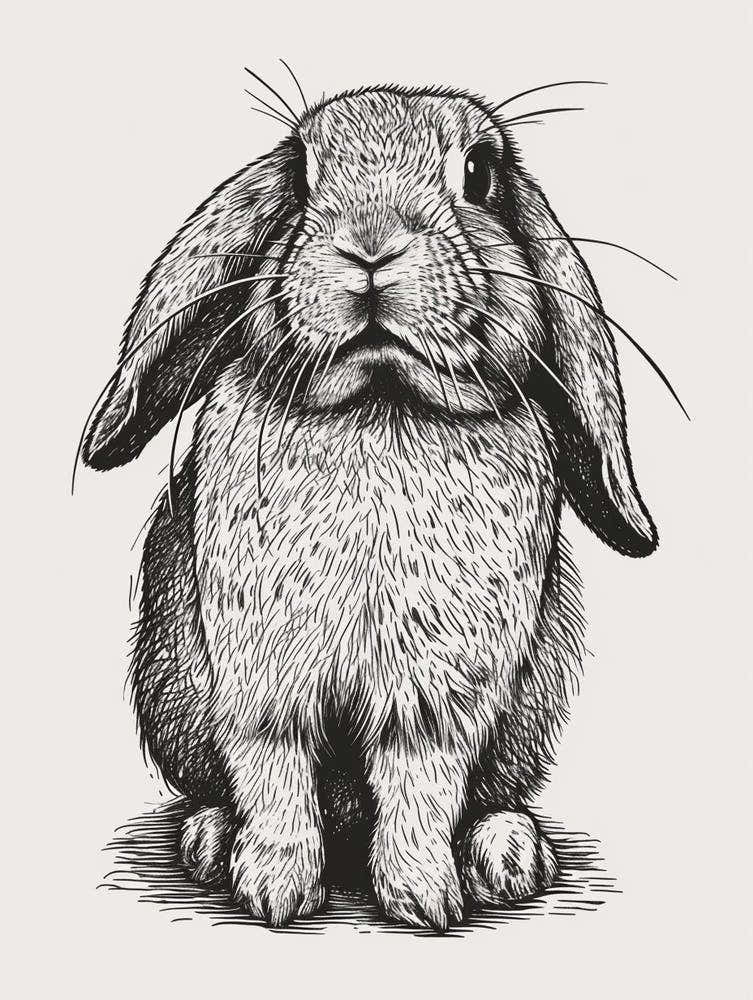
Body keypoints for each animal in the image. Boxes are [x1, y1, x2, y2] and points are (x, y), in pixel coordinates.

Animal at [80, 84, 659, 931]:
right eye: (300, 173)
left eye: (479, 174)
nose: (371, 244)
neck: (379, 400)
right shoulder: (262, 679)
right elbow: (275, 771)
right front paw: (274, 892)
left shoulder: (437, 697)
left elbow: (421, 784)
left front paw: (424, 900)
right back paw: (213, 841)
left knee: (486, 798)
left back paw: (507, 856)